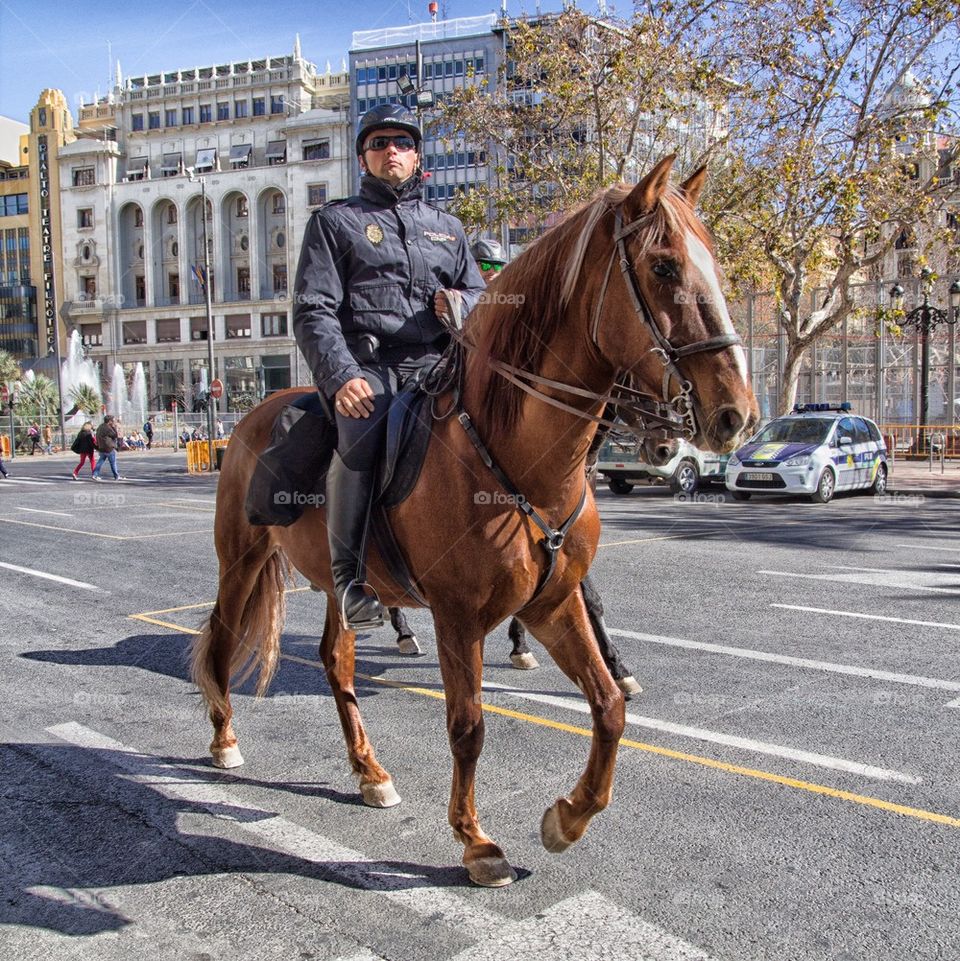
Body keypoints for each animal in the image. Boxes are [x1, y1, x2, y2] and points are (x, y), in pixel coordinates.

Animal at [189, 156, 756, 884]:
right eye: (663, 267)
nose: (736, 412)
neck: (516, 458)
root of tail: (253, 415)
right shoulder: (457, 617)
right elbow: (468, 725)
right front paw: (476, 841)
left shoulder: (553, 602)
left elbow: (608, 706)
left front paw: (568, 818)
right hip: (241, 560)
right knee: (222, 644)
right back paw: (225, 740)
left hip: (337, 586)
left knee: (336, 661)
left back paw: (369, 771)